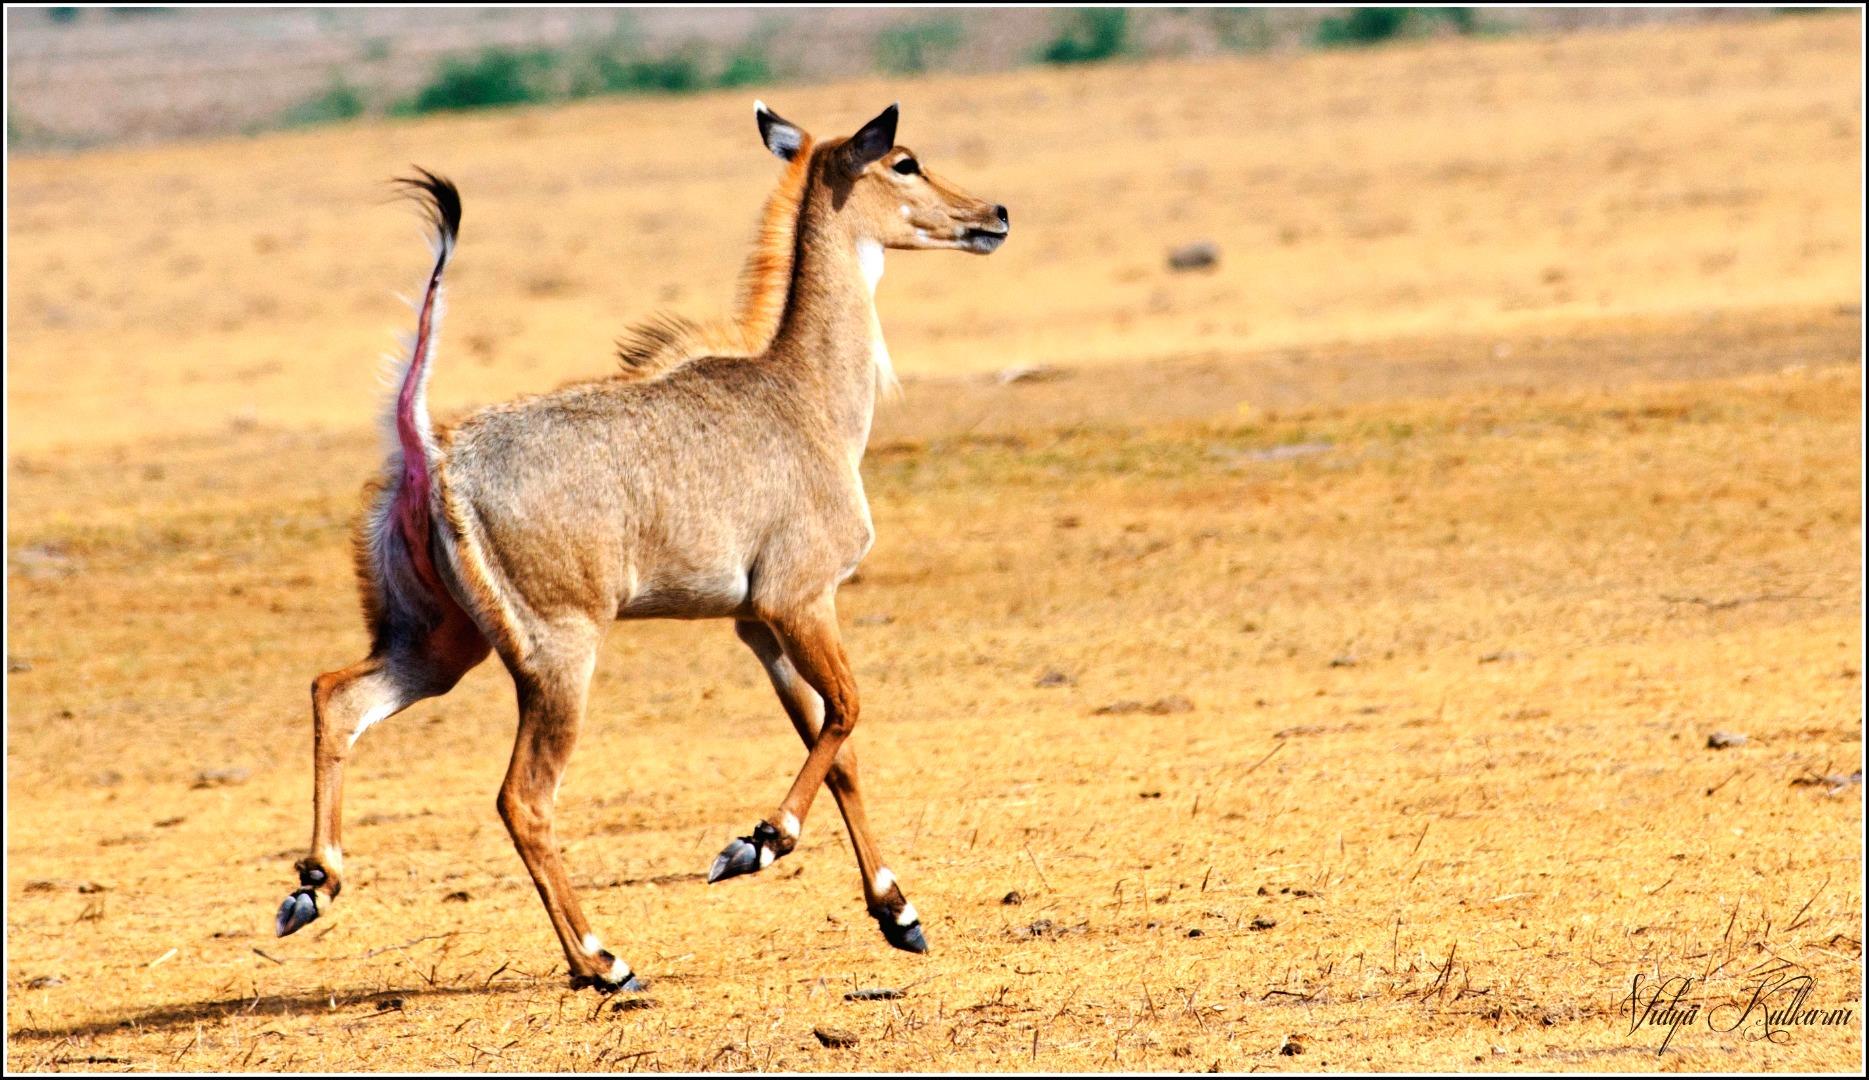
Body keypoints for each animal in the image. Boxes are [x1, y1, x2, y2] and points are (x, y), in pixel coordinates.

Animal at [274, 105, 1009, 986]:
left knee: (336, 695)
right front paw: (755, 844)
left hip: (440, 646)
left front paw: (898, 912)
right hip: (559, 654)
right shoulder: (800, 599)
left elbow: (837, 750)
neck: (805, 391)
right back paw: (603, 961)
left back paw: (312, 887)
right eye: (904, 161)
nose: (994, 215)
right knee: (522, 798)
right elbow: (849, 711)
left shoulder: (757, 625)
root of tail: (433, 452)